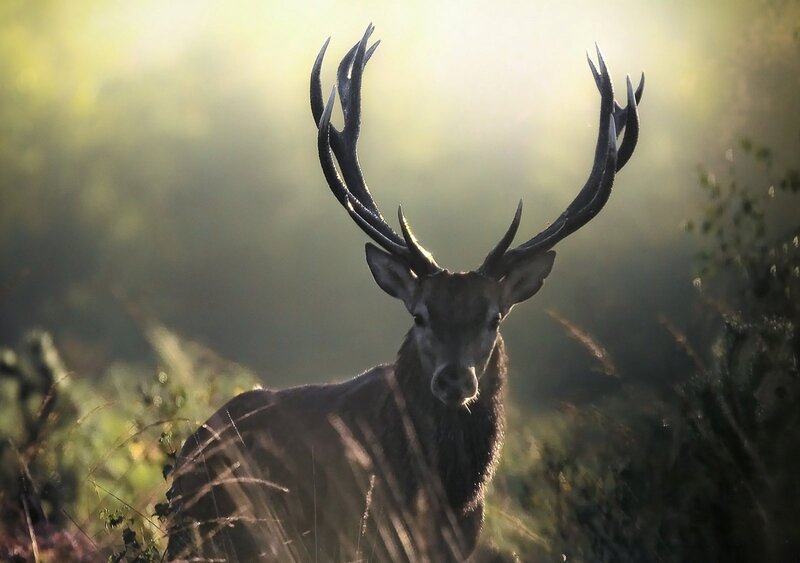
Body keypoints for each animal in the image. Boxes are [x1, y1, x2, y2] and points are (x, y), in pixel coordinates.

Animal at [165, 24, 643, 562]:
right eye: (419, 315)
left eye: (493, 318)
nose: (454, 379)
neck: (446, 499)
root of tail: (189, 449)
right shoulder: (354, 533)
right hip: (209, 534)